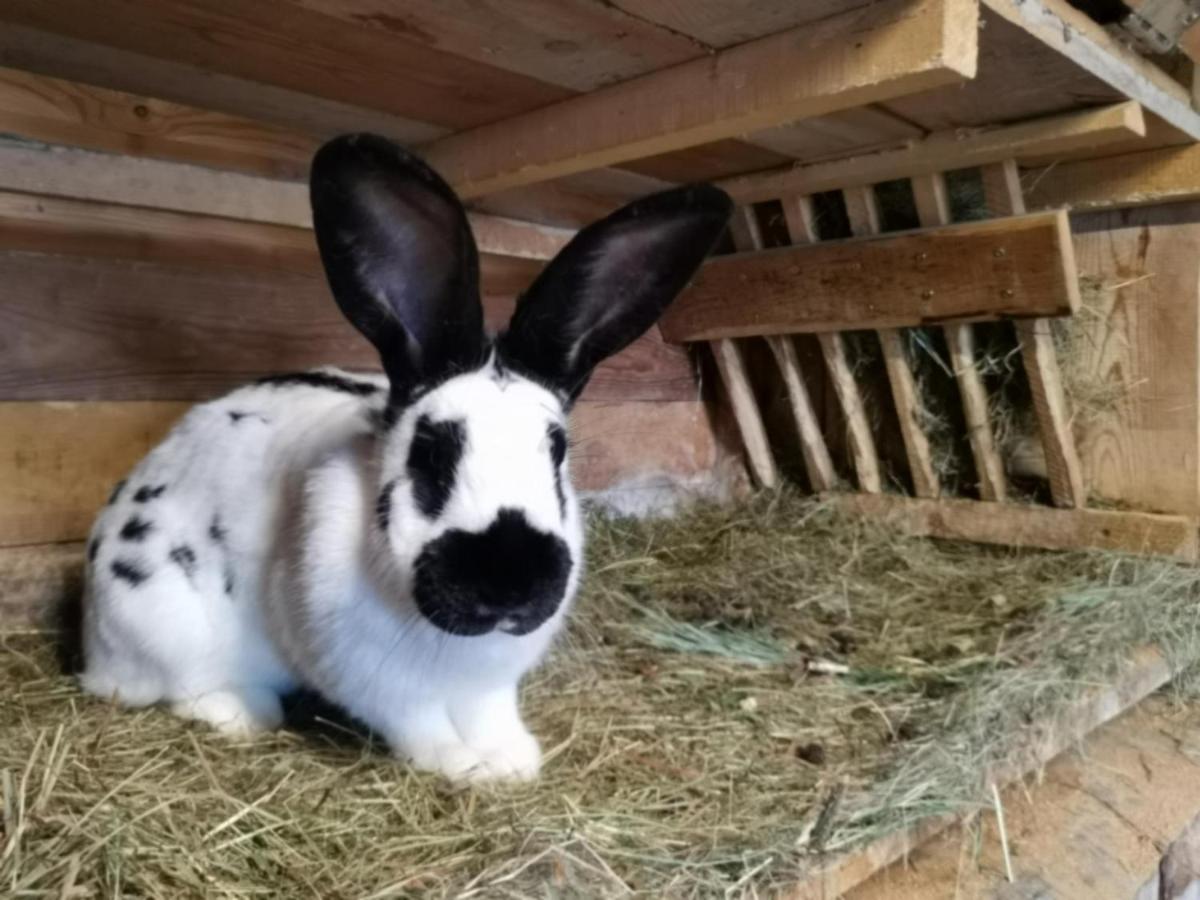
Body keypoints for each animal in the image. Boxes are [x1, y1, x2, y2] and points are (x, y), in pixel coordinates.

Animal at [79, 132, 734, 782]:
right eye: (430, 450)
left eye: (557, 449)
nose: (509, 580)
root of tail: (95, 646)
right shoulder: (380, 684)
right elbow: (419, 727)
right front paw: (464, 767)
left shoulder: (490, 686)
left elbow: (491, 716)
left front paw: (513, 762)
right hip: (168, 624)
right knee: (186, 688)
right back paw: (242, 714)